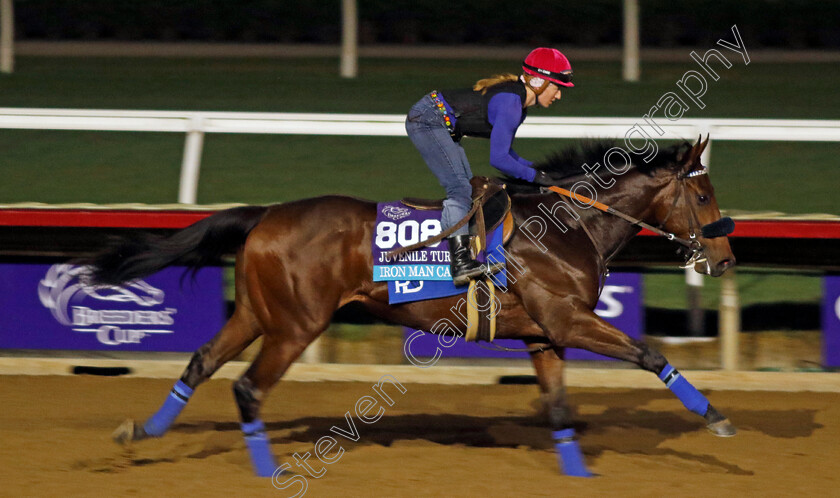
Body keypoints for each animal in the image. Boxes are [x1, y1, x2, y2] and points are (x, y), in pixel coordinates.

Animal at [90, 136, 736, 478]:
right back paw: (266, 470)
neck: (568, 227)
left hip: (255, 311)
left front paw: (578, 474)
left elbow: (557, 405)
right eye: (704, 195)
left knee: (201, 363)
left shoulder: (544, 333)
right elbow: (651, 355)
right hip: (297, 323)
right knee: (249, 387)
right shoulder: (568, 320)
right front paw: (716, 417)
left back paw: (140, 431)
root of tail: (266, 215)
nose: (725, 258)